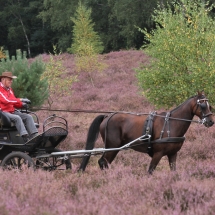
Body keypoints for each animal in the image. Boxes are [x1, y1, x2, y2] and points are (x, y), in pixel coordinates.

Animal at [79, 91, 213, 174]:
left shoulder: (173, 154)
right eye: (202, 105)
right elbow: (150, 171)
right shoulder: (158, 154)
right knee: (103, 162)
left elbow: (173, 171)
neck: (171, 124)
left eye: (209, 105)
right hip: (112, 147)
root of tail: (108, 116)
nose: (211, 121)